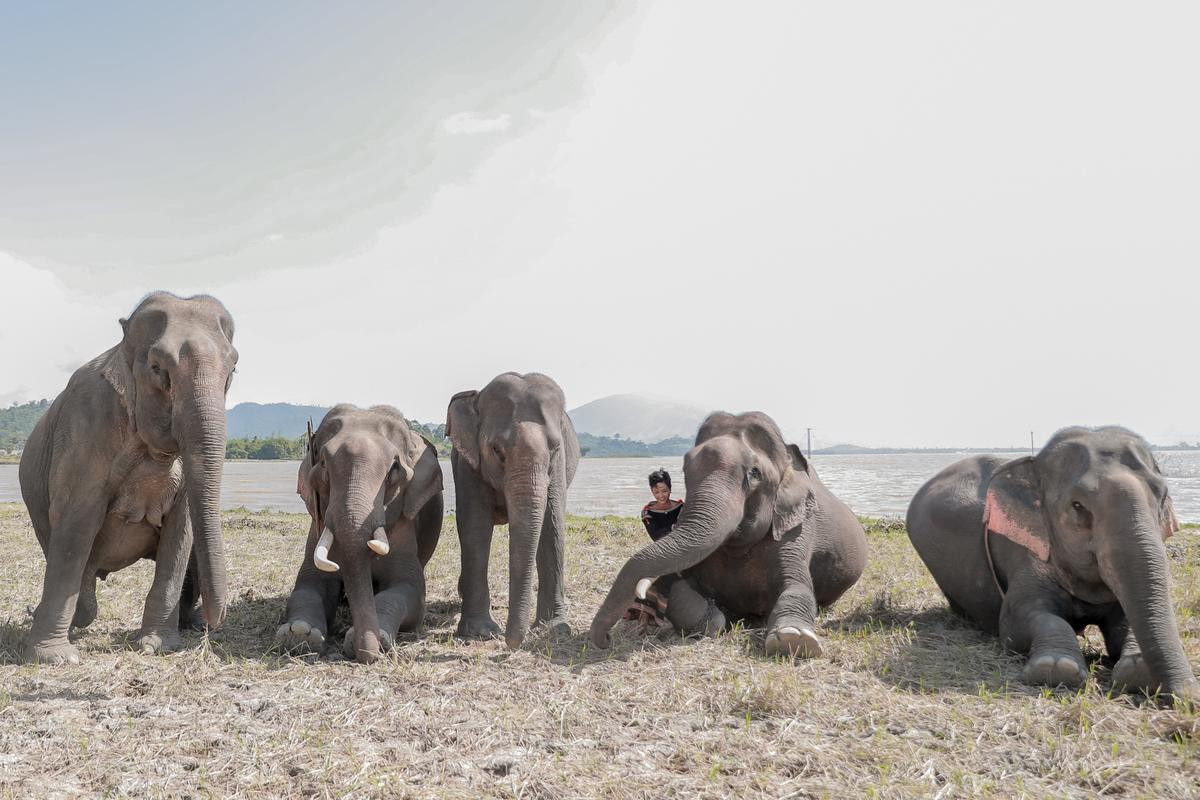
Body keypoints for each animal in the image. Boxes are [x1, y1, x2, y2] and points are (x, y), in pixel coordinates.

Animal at [18, 292, 237, 662]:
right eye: (157, 368)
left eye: (233, 370)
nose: (216, 622)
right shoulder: (85, 427)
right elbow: (76, 523)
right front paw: (56, 657)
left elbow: (181, 531)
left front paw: (157, 645)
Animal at [274, 407, 444, 662]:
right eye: (323, 463)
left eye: (394, 468)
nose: (363, 653)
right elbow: (308, 586)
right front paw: (300, 634)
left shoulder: (405, 528)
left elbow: (409, 591)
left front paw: (378, 637)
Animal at [451, 376, 580, 652]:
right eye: (497, 450)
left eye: (555, 448)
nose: (509, 643)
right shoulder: (468, 466)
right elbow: (474, 528)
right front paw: (480, 633)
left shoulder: (558, 467)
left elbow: (552, 526)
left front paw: (555, 629)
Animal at [588, 412, 864, 657]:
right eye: (685, 468)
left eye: (754, 472)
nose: (606, 639)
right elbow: (680, 588)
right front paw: (714, 620)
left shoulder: (796, 531)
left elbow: (798, 587)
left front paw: (793, 638)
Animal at [902, 429, 1195, 705]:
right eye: (1077, 506)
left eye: (1163, 496)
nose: (1187, 699)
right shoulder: (1024, 552)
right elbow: (1016, 624)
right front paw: (1057, 669)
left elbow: (1123, 622)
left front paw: (1138, 670)